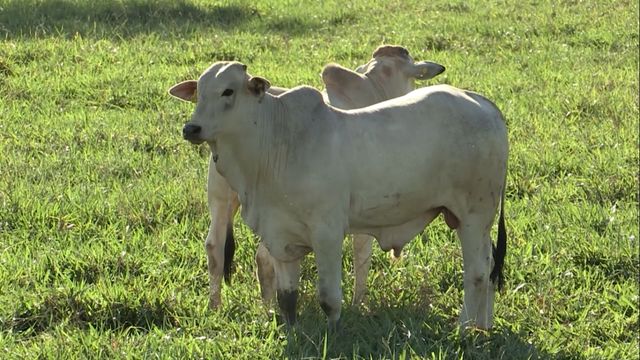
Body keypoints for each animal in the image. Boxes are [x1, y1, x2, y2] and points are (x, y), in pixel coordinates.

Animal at [169, 61, 504, 330]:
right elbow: (286, 297)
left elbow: (329, 297)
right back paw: (483, 325)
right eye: (199, 93)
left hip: (474, 216)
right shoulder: (279, 235)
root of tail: (484, 104)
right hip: (473, 221)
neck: (275, 142)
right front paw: (292, 329)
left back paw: (465, 328)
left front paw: (334, 332)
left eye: (228, 91)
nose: (191, 128)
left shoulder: (327, 233)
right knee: (488, 268)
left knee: (476, 272)